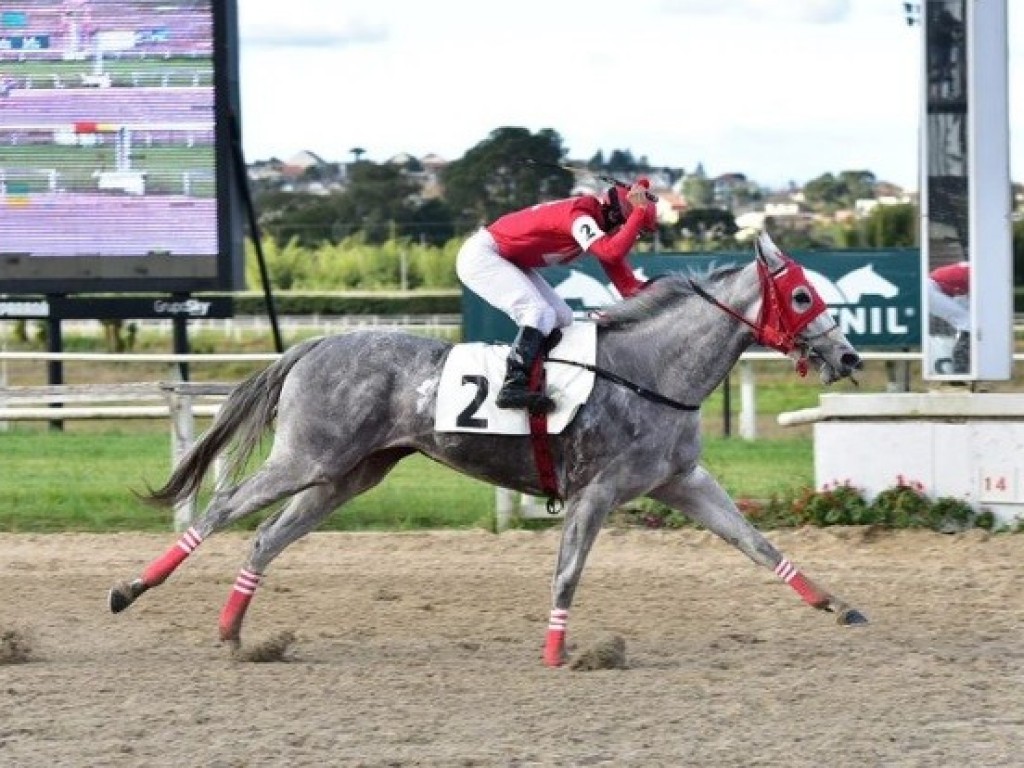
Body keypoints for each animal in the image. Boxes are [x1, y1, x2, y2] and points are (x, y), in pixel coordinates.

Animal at [110, 230, 864, 667]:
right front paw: (559, 652)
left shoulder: (682, 481)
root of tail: (315, 343)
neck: (651, 370)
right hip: (307, 459)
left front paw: (838, 606)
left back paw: (236, 633)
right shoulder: (595, 492)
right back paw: (129, 590)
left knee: (267, 537)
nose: (850, 356)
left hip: (349, 475)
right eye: (802, 295)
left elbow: (757, 544)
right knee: (222, 510)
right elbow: (568, 572)